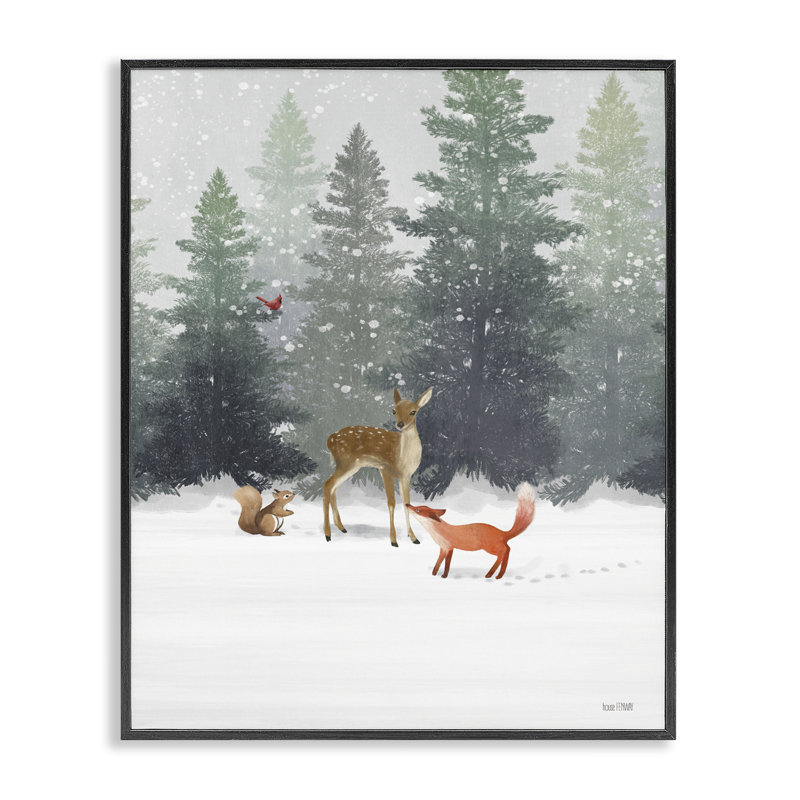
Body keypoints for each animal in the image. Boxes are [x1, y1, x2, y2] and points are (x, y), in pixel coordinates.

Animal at [323, 387, 433, 546]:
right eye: (394, 410)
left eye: (413, 411)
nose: (400, 424)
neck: (402, 456)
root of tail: (329, 440)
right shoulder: (385, 468)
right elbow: (391, 503)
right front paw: (393, 540)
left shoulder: (405, 476)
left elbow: (407, 503)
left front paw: (413, 537)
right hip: (346, 462)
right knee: (327, 485)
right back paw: (328, 534)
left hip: (351, 466)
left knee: (333, 488)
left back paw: (341, 527)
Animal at [406, 482, 536, 579]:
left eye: (418, 510)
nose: (407, 504)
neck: (438, 532)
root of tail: (501, 532)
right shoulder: (443, 548)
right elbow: (438, 562)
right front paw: (434, 573)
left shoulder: (450, 547)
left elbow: (446, 564)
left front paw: (444, 576)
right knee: (508, 549)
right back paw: (499, 574)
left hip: (490, 548)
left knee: (503, 552)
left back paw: (491, 574)